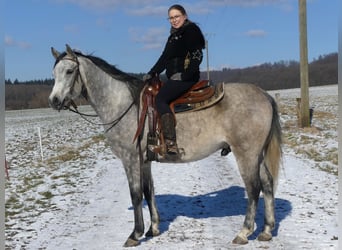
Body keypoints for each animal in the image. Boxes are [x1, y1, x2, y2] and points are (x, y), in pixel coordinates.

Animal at [49, 44, 282, 246]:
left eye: (69, 71)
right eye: (54, 73)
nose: (54, 101)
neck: (123, 105)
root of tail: (264, 95)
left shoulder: (130, 159)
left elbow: (136, 194)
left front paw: (135, 234)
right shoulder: (144, 161)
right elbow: (148, 191)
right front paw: (153, 229)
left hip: (246, 154)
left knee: (253, 188)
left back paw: (244, 232)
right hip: (257, 154)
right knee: (268, 184)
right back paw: (266, 230)